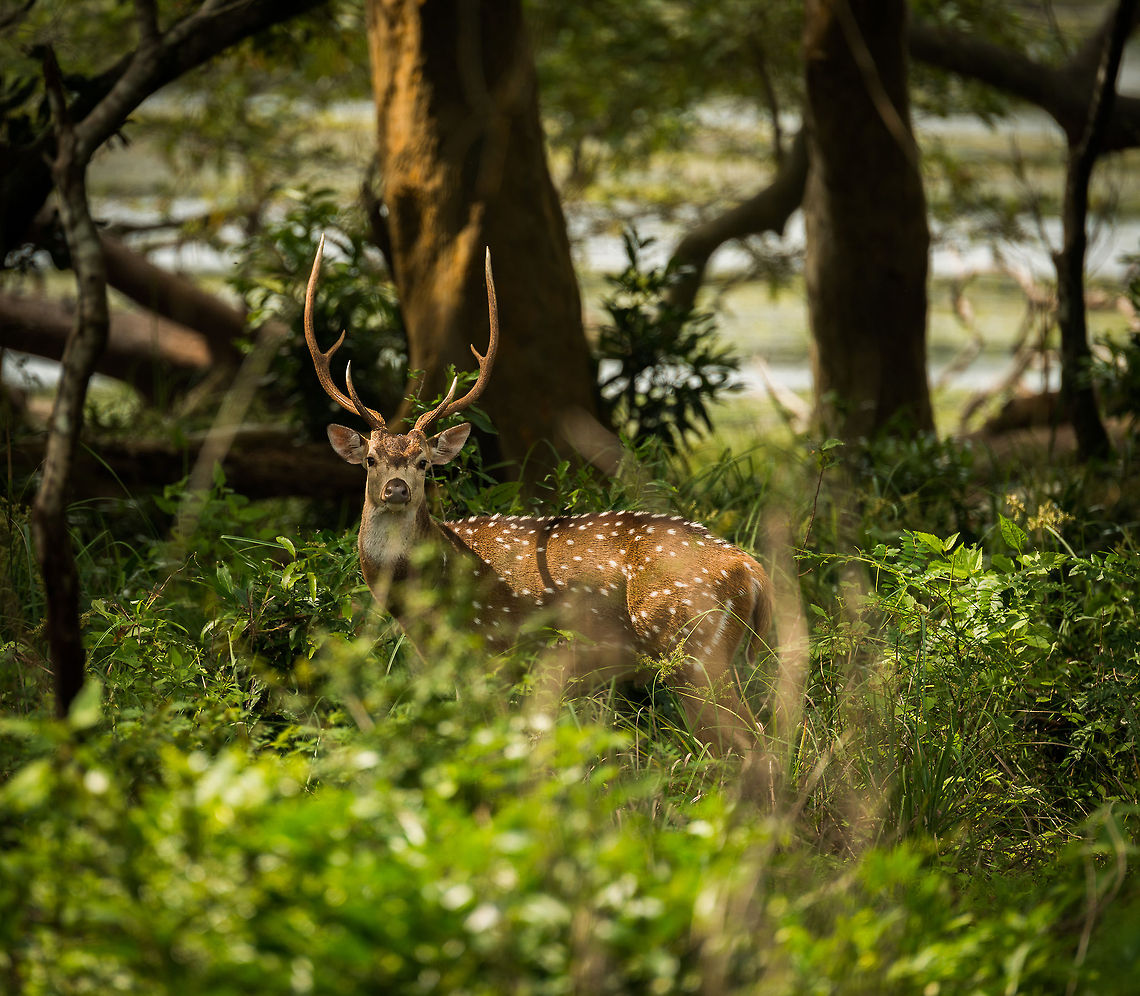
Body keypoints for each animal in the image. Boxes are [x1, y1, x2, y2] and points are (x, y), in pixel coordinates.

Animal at [304, 236, 772, 755]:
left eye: (424, 463)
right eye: (370, 460)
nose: (397, 488)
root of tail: (751, 570)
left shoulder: (491, 648)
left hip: (693, 646)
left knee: (753, 740)